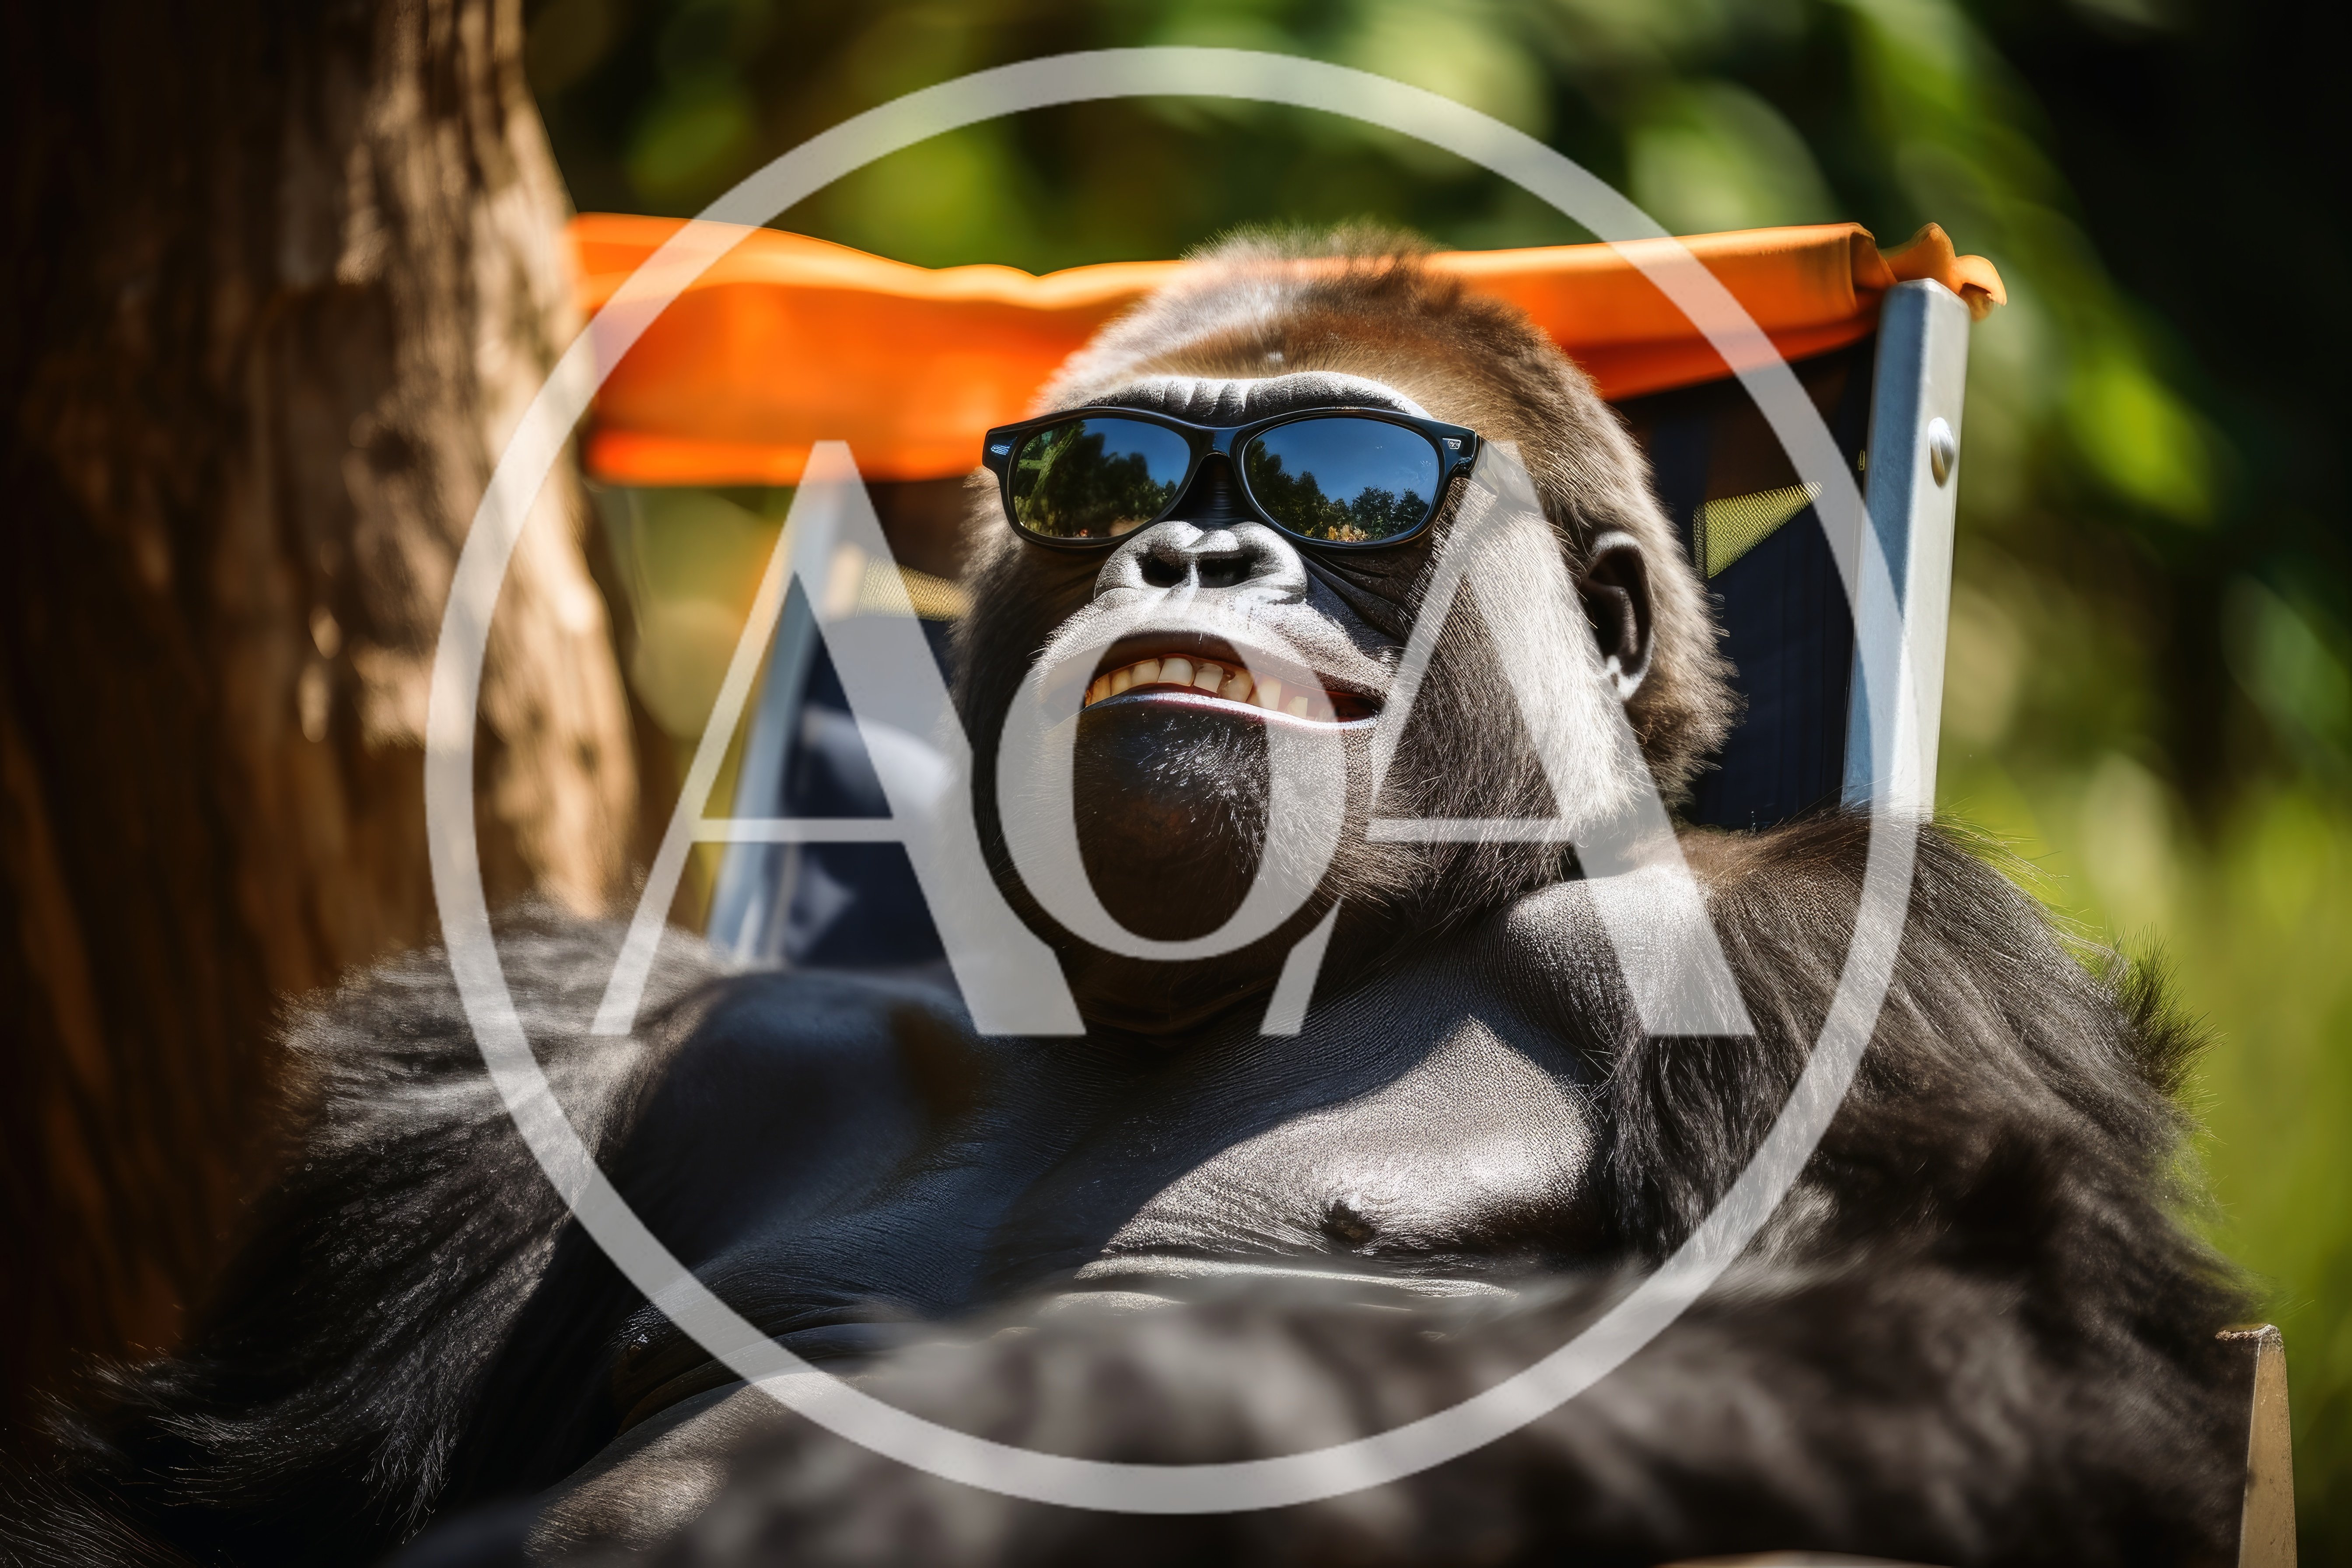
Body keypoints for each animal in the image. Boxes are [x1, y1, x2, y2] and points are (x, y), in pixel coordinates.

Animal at [4, 232, 2252, 1568]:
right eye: (1111, 479)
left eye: (1349, 495)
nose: (1188, 552)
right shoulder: (558, 1038)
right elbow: (217, 1498)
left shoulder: (1847, 942)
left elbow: (2000, 1354)